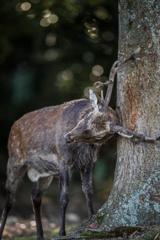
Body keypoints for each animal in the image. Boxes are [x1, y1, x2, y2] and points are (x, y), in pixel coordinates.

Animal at [0, 48, 159, 240]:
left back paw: (40, 235)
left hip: (45, 172)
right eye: (87, 117)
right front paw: (62, 232)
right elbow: (64, 197)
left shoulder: (90, 162)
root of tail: (13, 126)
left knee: (35, 195)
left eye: (98, 135)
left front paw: (91, 219)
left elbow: (88, 189)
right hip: (14, 158)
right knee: (9, 198)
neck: (82, 150)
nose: (68, 137)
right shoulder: (63, 160)